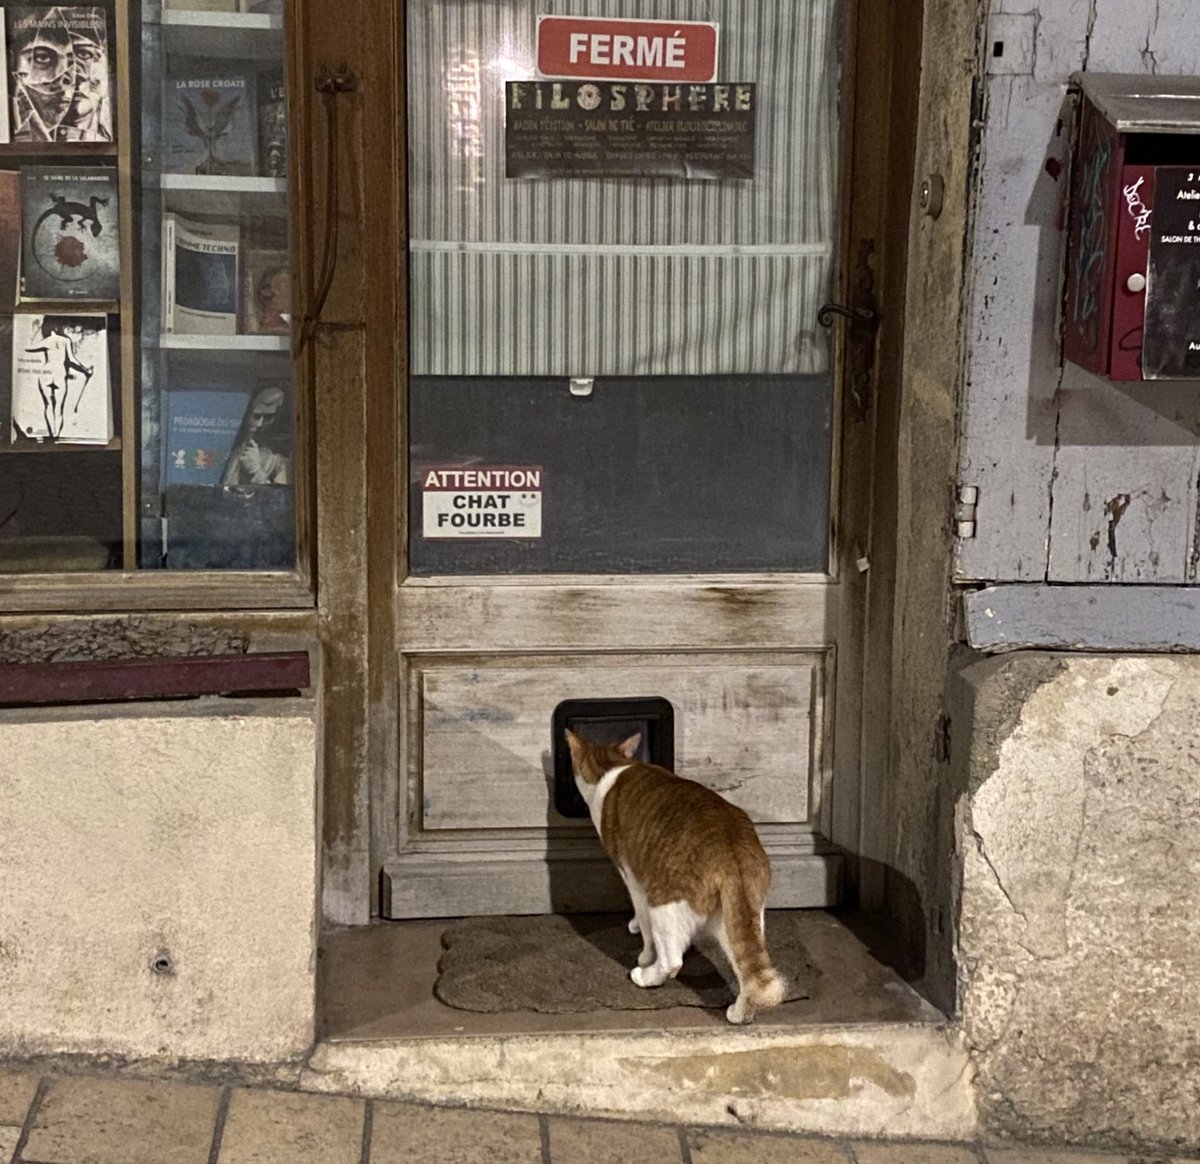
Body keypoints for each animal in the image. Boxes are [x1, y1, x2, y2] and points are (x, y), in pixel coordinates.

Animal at [568, 729, 787, 1022]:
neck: (611, 766)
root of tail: (731, 848)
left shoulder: (633, 879)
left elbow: (646, 931)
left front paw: (642, 952)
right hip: (736, 918)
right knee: (749, 971)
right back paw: (739, 1013)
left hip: (663, 903)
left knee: (671, 960)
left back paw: (645, 976)